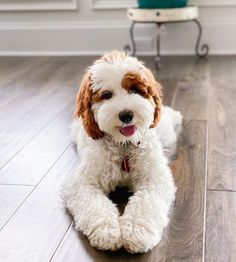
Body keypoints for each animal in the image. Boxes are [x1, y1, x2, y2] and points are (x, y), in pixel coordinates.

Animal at [61, 50, 182, 253]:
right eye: (107, 95)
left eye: (134, 90)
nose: (126, 115)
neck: (124, 145)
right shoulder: (84, 183)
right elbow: (95, 205)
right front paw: (106, 231)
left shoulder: (154, 179)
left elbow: (144, 203)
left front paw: (136, 232)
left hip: (164, 131)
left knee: (167, 116)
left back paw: (176, 115)